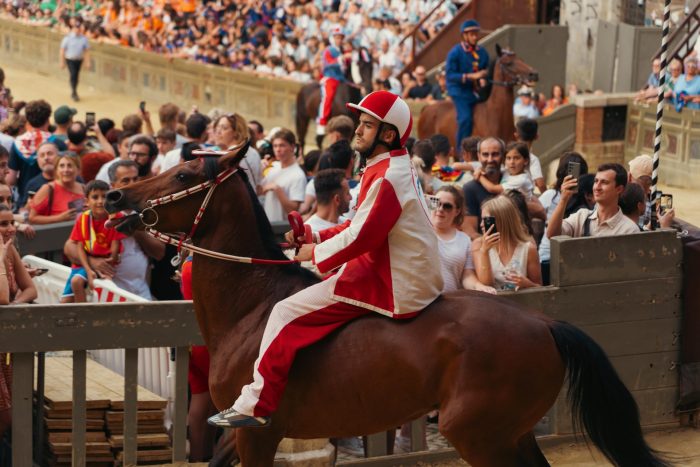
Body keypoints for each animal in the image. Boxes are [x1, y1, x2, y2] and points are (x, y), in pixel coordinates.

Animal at [106, 147, 668, 467]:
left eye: (183, 175)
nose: (114, 197)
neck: (250, 307)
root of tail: (545, 323)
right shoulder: (238, 438)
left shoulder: (257, 435)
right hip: (512, 433)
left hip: (481, 437)